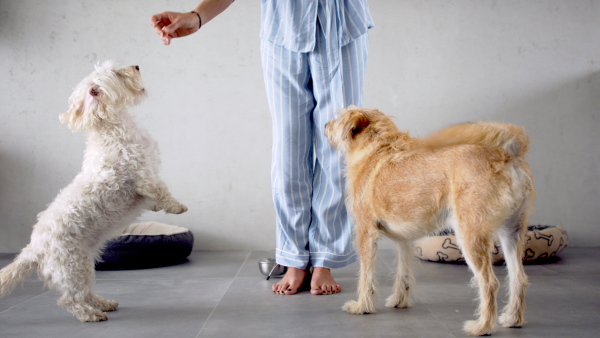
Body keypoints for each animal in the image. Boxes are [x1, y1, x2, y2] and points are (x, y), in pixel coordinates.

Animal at [0, 60, 188, 322]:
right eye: (117, 72)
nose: (136, 66)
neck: (113, 127)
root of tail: (32, 249)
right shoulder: (141, 175)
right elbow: (159, 188)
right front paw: (175, 206)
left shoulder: (146, 173)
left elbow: (154, 193)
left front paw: (156, 206)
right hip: (72, 267)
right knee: (69, 299)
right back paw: (90, 315)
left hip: (85, 264)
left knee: (85, 293)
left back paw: (103, 303)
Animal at [326, 106, 536, 336]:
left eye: (339, 117)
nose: (325, 125)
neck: (375, 149)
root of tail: (508, 152)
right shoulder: (404, 240)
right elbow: (403, 272)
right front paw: (400, 301)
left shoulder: (366, 233)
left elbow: (366, 276)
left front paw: (362, 306)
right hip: (512, 232)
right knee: (519, 278)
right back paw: (512, 319)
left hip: (470, 236)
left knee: (490, 283)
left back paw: (482, 327)